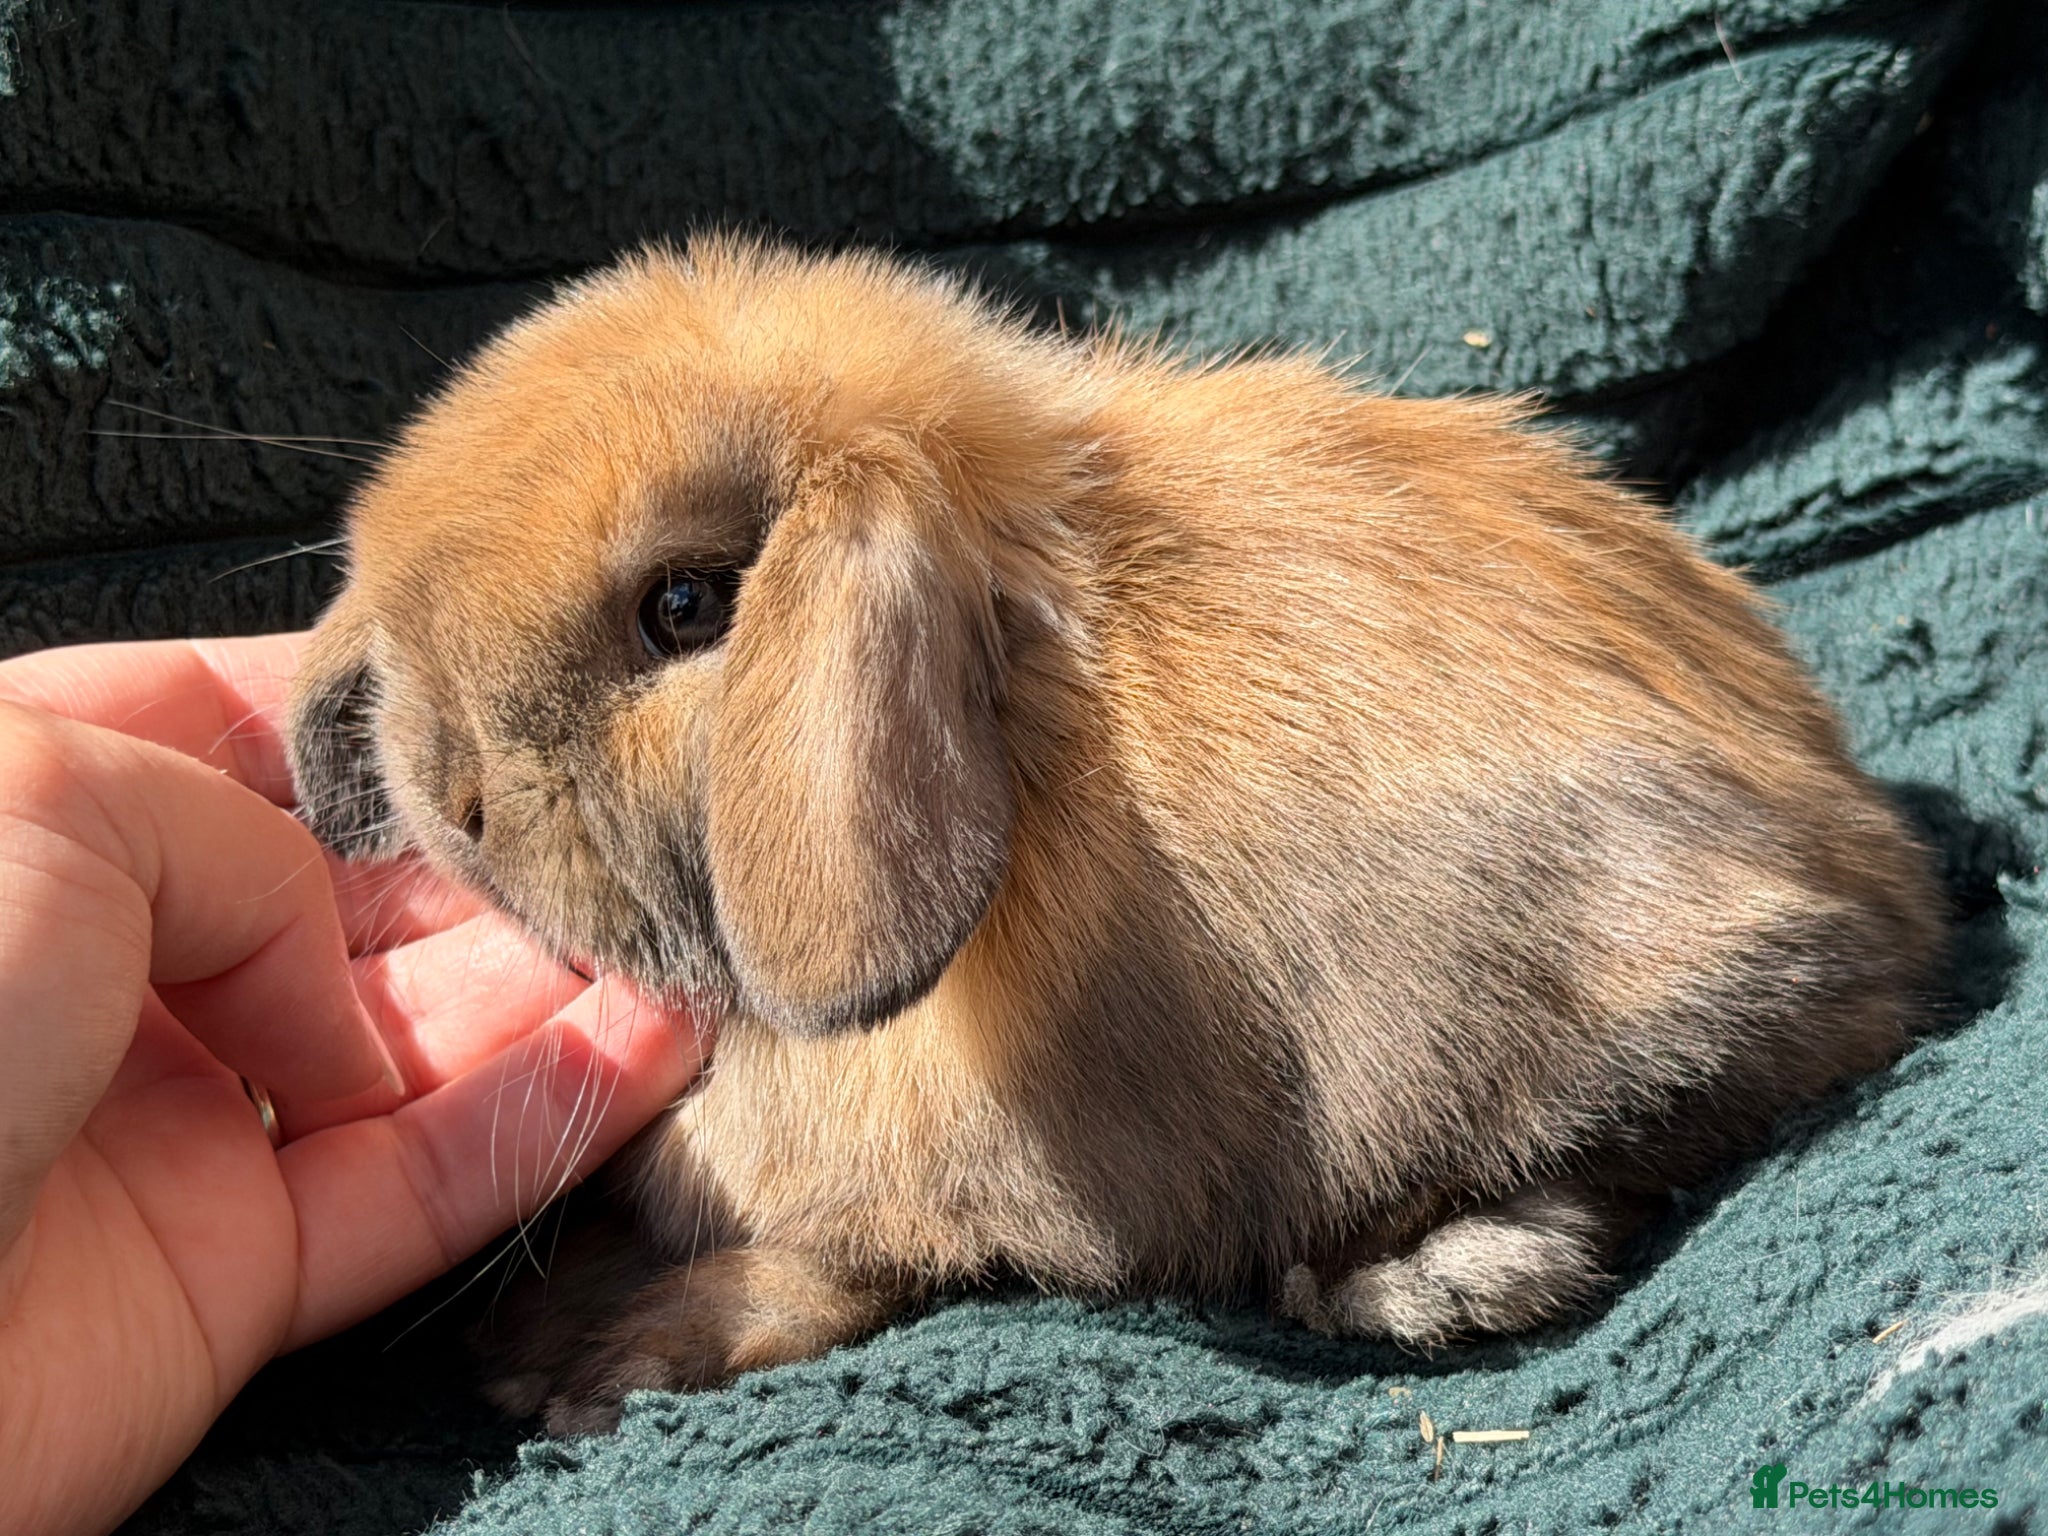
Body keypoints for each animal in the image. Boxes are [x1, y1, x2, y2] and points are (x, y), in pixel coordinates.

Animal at [287, 236, 1944, 1434]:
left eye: (687, 606)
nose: (449, 790)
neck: (1026, 736)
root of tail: (1898, 896)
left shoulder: (944, 1195)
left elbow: (835, 1262)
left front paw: (582, 1360)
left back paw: (1427, 1278)